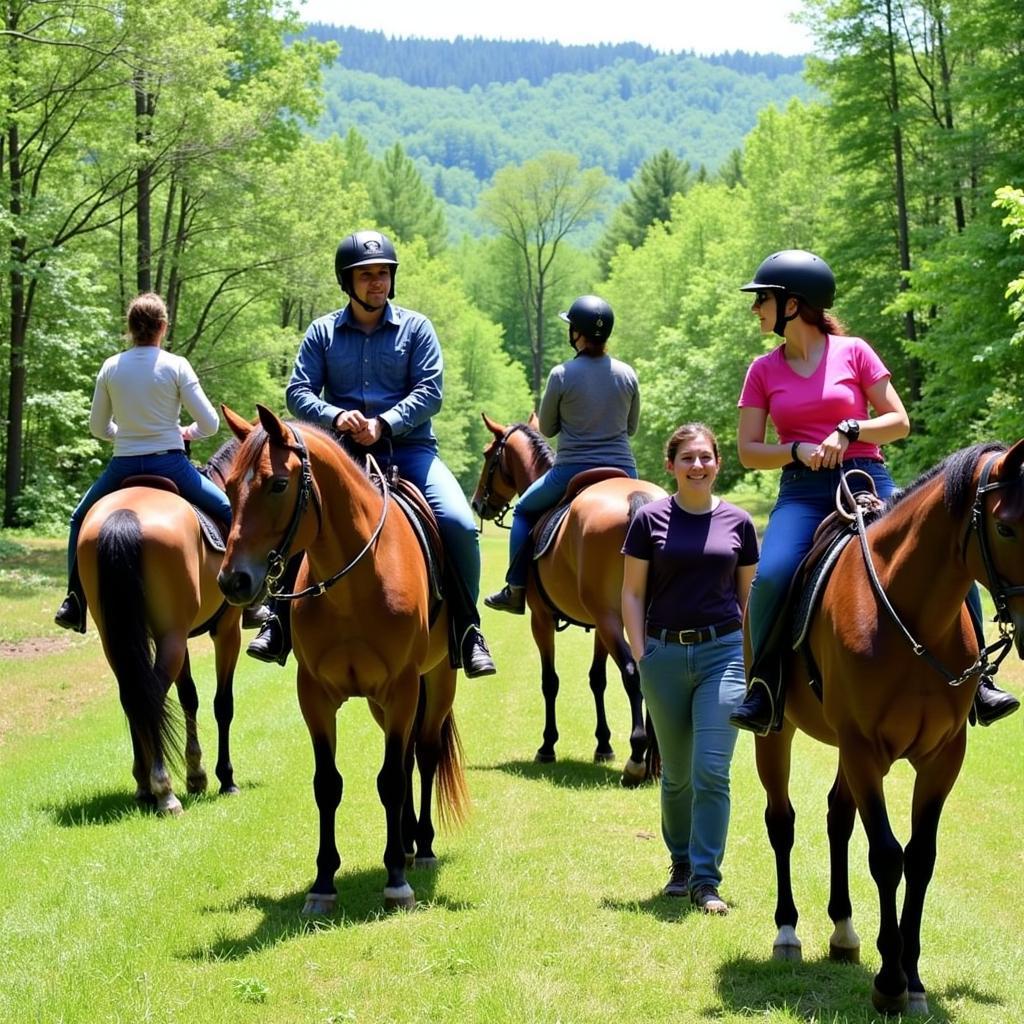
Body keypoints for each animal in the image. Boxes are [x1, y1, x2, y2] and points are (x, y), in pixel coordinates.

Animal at [76, 438, 243, 815]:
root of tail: (125, 516)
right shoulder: (227, 631)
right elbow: (221, 703)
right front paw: (224, 778)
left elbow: (188, 696)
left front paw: (196, 774)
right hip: (172, 637)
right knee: (150, 694)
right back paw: (164, 790)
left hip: (121, 639)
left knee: (133, 695)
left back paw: (144, 784)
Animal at [218, 403, 468, 917]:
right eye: (230, 486)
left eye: (278, 484)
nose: (233, 581)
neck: (356, 584)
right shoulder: (315, 695)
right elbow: (327, 784)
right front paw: (323, 884)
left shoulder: (401, 689)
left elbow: (391, 779)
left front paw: (396, 883)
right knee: (408, 757)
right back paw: (406, 843)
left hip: (436, 684)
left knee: (424, 754)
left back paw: (422, 848)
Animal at [468, 413, 667, 782]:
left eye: (489, 455)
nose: (477, 503)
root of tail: (636, 500)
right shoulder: (601, 626)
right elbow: (597, 679)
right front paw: (603, 745)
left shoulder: (541, 619)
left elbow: (550, 681)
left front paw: (547, 745)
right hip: (623, 619)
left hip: (606, 619)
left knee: (632, 672)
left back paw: (637, 756)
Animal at [753, 440, 1024, 1015]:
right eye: (1007, 527)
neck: (910, 618)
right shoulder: (863, 749)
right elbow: (885, 855)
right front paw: (890, 982)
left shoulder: (943, 756)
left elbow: (920, 857)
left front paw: (913, 979)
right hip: (778, 736)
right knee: (782, 821)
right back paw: (787, 933)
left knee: (837, 817)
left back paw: (844, 931)